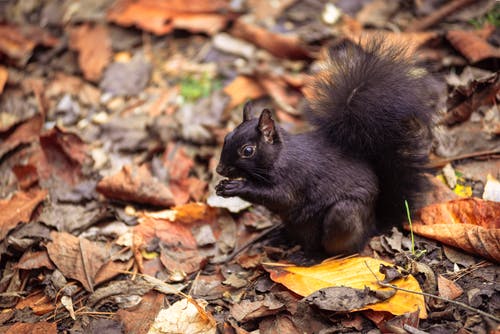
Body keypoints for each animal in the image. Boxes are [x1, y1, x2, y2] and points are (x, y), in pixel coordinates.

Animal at [215, 40, 434, 254]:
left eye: (248, 151)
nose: (219, 170)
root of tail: (372, 225)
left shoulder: (293, 179)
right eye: (226, 137)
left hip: (343, 215)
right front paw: (222, 186)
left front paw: (236, 186)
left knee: (343, 249)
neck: (279, 157)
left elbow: (278, 197)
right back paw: (280, 237)